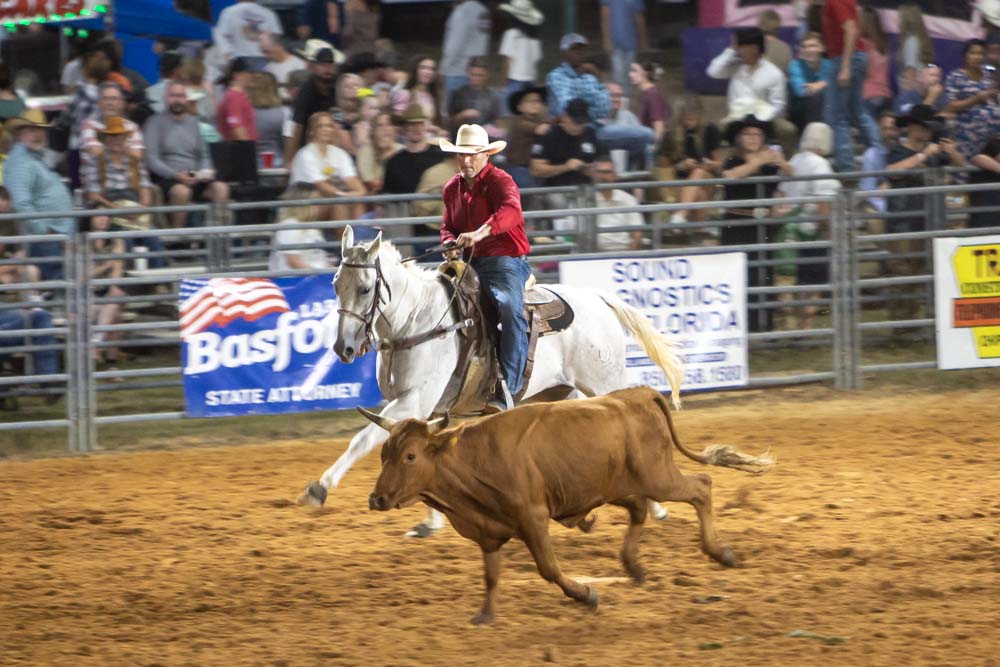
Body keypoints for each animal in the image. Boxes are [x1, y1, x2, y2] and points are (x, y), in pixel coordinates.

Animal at [296, 226, 684, 538]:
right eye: (335, 285)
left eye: (365, 289)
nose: (343, 348)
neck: (418, 321)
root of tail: (597, 298)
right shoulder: (423, 409)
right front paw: (430, 522)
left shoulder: (414, 399)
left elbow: (363, 439)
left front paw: (319, 487)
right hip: (562, 393)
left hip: (604, 381)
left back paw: (656, 504)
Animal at [360, 386, 773, 625]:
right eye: (383, 454)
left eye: (410, 456)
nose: (377, 498)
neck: (471, 460)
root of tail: (638, 394)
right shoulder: (489, 531)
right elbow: (492, 576)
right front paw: (485, 615)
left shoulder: (533, 518)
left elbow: (548, 569)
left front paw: (586, 595)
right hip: (619, 485)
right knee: (640, 509)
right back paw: (634, 567)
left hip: (658, 475)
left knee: (701, 487)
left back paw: (720, 552)